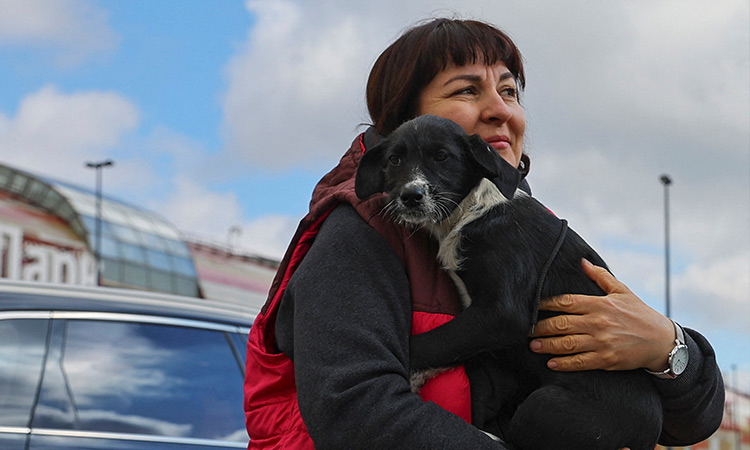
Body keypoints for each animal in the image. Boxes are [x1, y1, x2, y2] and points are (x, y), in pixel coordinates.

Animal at [356, 115, 660, 450]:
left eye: (442, 156)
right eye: (394, 160)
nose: (410, 196)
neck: (473, 210)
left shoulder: (503, 313)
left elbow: (431, 342)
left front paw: (409, 375)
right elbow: (450, 343)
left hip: (546, 406)